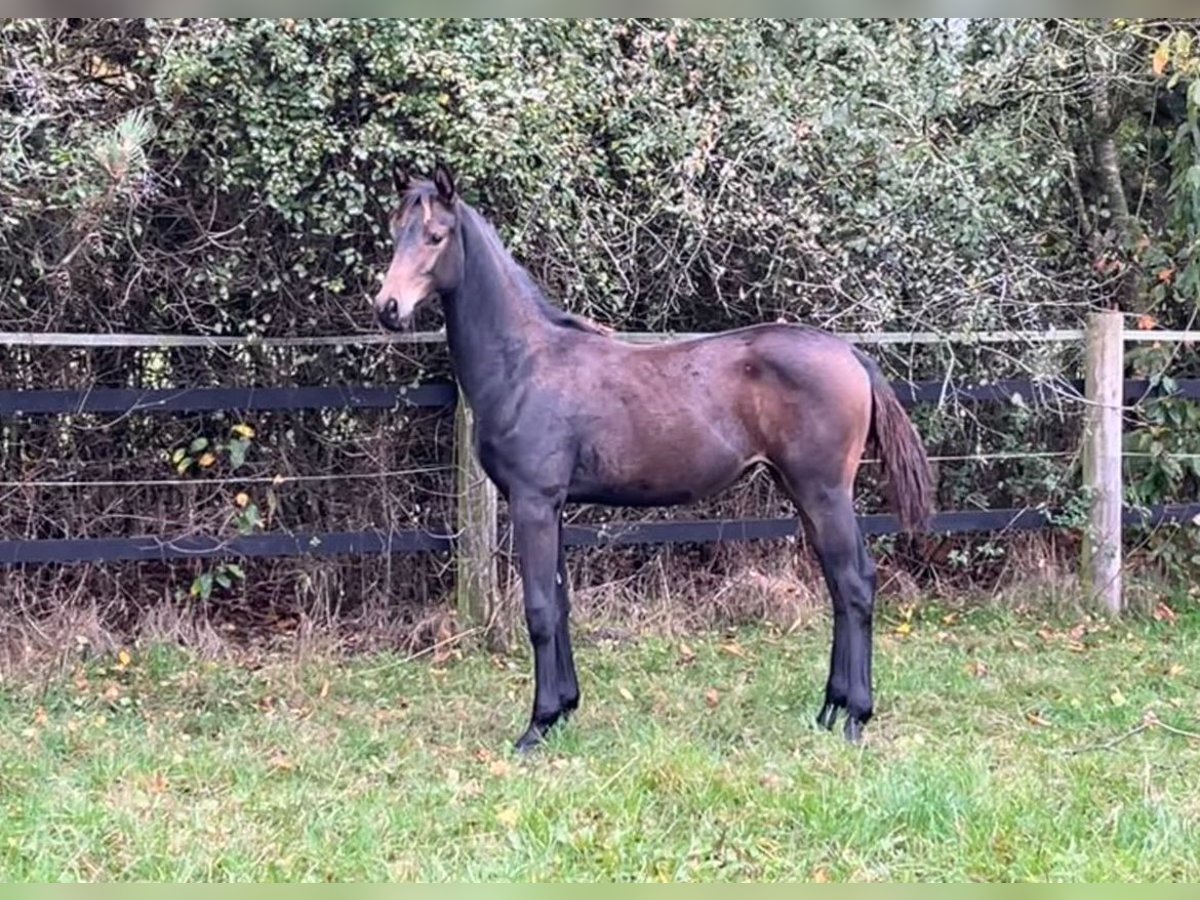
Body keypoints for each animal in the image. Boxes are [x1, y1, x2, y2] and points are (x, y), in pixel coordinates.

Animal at [369, 164, 931, 753]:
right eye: (396, 232)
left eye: (436, 236)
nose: (387, 307)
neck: (524, 362)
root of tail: (850, 353)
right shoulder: (555, 507)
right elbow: (561, 604)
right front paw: (565, 708)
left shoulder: (533, 503)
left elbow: (540, 608)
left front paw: (538, 725)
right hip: (803, 493)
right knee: (839, 588)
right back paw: (829, 710)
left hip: (824, 492)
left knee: (855, 584)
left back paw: (855, 718)